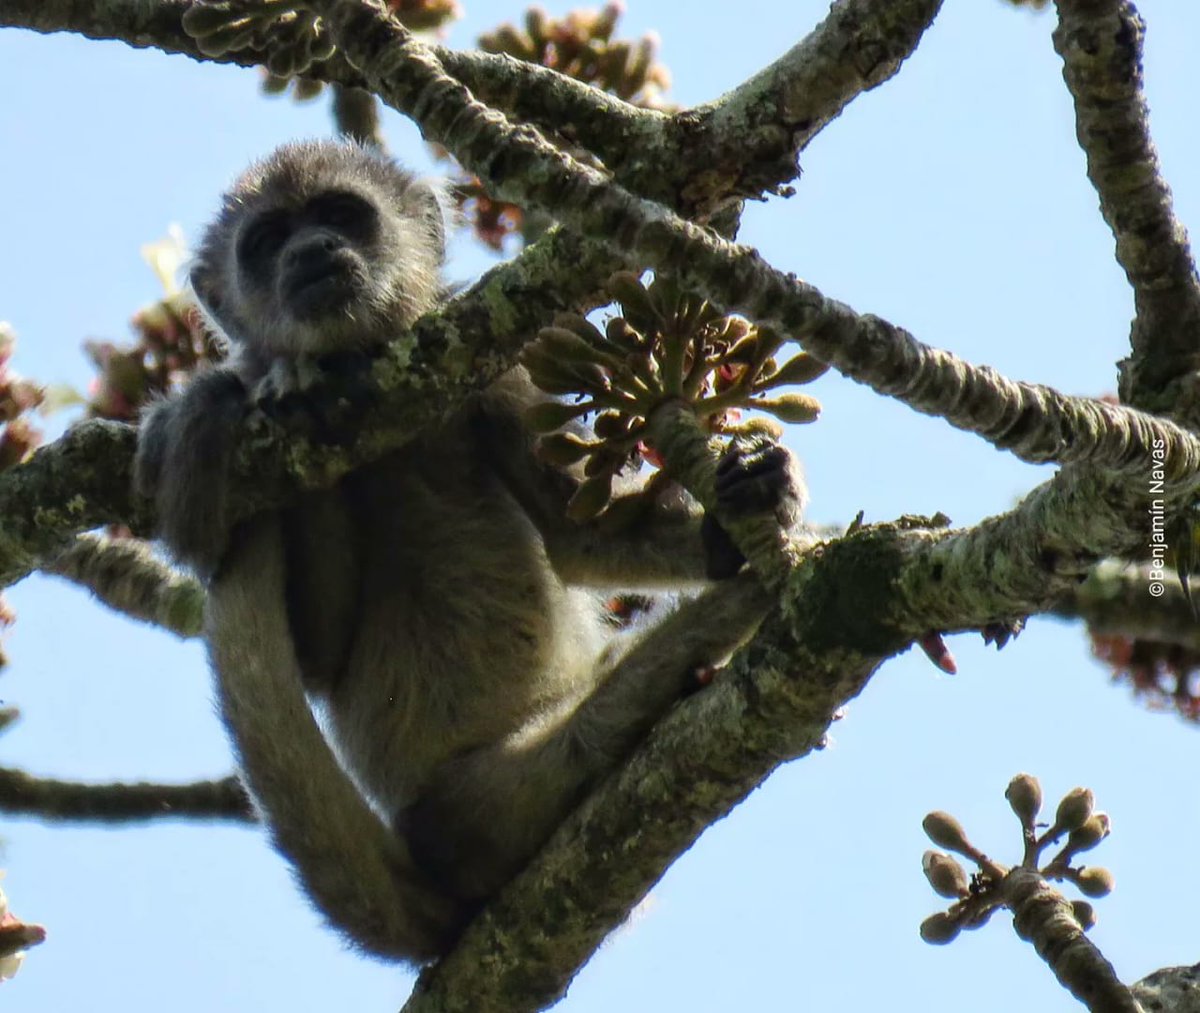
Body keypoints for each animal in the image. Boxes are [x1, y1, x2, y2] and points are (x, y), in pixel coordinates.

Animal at [134, 140, 804, 962]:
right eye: (264, 242)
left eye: (340, 214)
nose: (311, 252)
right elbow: (321, 645)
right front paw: (279, 382)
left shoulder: (499, 373)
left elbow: (577, 535)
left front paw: (747, 505)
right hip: (473, 810)